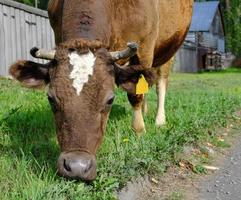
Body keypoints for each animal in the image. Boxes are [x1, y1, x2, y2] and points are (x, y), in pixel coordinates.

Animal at [9, 0, 194, 181]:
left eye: (110, 99)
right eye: (50, 98)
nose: (77, 167)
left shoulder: (145, 47)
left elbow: (136, 94)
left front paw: (139, 131)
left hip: (168, 50)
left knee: (160, 81)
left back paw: (159, 120)